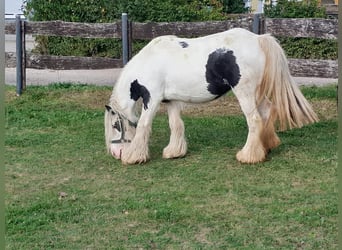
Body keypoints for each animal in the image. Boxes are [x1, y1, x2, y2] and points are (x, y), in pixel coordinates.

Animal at [104, 27, 318, 165]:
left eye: (115, 126)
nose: (115, 154)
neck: (149, 62)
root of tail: (259, 39)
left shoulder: (152, 99)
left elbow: (143, 126)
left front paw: (134, 157)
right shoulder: (170, 101)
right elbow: (175, 125)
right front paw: (174, 152)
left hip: (245, 93)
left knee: (255, 120)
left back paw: (248, 156)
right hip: (258, 94)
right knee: (266, 114)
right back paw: (264, 148)